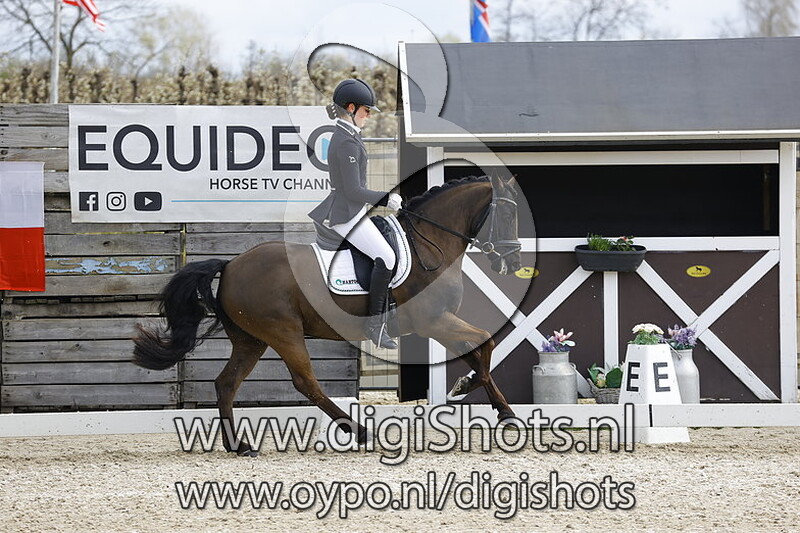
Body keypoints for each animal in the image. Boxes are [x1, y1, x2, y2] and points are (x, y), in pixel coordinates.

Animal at [132, 174, 523, 455]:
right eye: (507, 214)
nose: (512, 262)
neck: (430, 244)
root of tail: (230, 266)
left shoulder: (439, 323)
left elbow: (479, 349)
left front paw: (478, 393)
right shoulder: (434, 321)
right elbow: (484, 342)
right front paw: (498, 407)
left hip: (251, 340)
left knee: (226, 383)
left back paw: (238, 445)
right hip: (284, 332)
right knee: (306, 383)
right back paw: (359, 432)